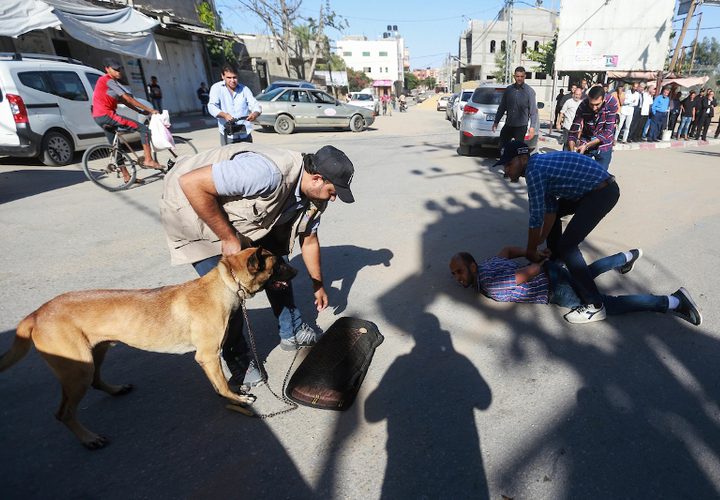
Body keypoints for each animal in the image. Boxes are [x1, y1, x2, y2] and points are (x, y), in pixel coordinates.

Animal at [0, 248, 296, 452]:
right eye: (279, 264)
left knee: (96, 381)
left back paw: (115, 390)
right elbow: (222, 384)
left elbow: (218, 382)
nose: (294, 272)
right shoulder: (208, 356)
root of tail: (37, 313)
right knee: (64, 413)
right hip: (77, 370)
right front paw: (236, 399)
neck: (222, 285)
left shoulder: (208, 359)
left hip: (95, 353)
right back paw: (89, 438)